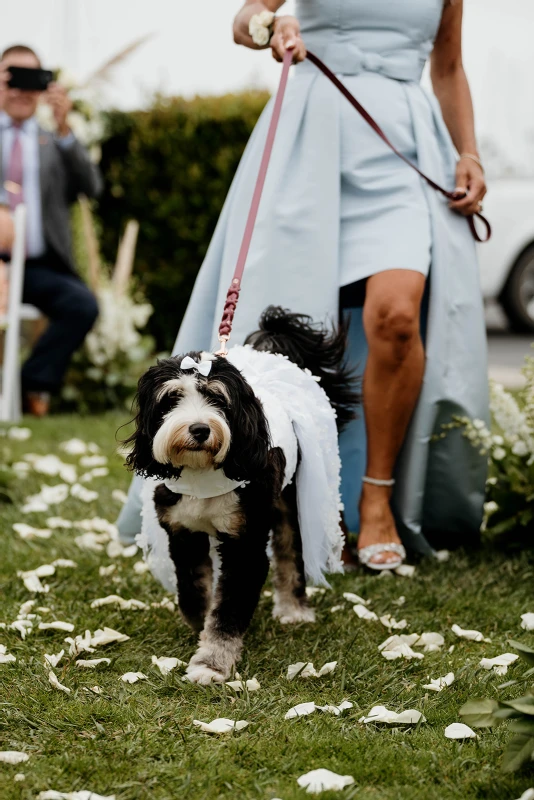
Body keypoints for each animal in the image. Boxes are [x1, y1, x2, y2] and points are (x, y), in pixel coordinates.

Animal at [126, 306, 360, 680]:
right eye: (173, 398)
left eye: (217, 398)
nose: (199, 429)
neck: (203, 473)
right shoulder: (182, 533)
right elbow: (192, 591)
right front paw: (200, 626)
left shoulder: (246, 542)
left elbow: (229, 608)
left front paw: (211, 662)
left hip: (287, 501)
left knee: (290, 552)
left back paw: (294, 610)